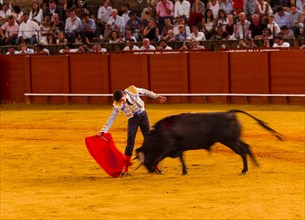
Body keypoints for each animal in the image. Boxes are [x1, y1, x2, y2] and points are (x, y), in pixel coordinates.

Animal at [134, 109, 282, 174]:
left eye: (145, 160)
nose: (150, 170)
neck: (159, 133)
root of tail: (230, 113)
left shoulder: (170, 147)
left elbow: (159, 157)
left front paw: (159, 169)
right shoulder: (179, 147)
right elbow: (182, 158)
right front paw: (184, 171)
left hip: (230, 141)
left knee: (242, 151)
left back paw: (244, 170)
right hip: (235, 139)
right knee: (247, 147)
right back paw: (255, 165)